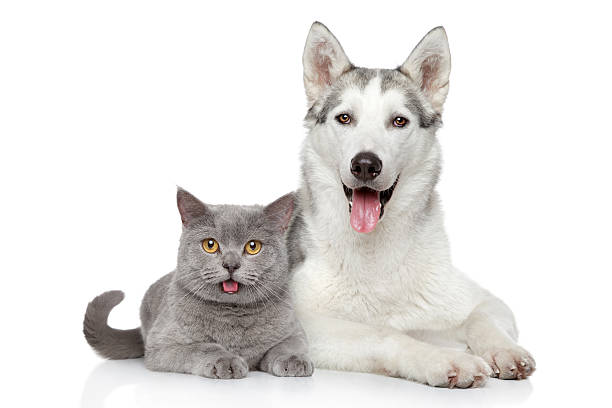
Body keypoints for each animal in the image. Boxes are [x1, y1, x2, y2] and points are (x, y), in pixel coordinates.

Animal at [81, 188, 314, 380]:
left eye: (253, 246)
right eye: (210, 245)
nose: (231, 264)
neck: (233, 317)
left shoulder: (295, 331)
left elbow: (288, 346)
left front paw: (294, 361)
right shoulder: (163, 344)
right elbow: (203, 347)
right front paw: (226, 361)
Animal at [290, 23, 532, 388]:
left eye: (399, 121)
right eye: (344, 118)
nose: (365, 165)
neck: (375, 253)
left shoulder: (486, 301)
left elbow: (481, 318)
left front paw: (504, 350)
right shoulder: (302, 323)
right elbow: (383, 334)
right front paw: (443, 359)